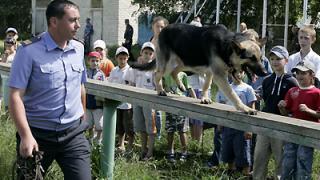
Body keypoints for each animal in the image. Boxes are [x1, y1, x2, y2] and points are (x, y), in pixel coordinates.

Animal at [132, 23, 268, 114]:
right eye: (252, 58)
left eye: (261, 58)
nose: (265, 72)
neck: (227, 47)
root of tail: (164, 29)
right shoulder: (219, 75)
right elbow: (232, 93)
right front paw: (245, 108)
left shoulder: (210, 72)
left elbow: (206, 86)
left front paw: (204, 98)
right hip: (168, 64)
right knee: (157, 74)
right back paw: (160, 90)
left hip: (186, 63)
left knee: (174, 72)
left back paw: (181, 86)